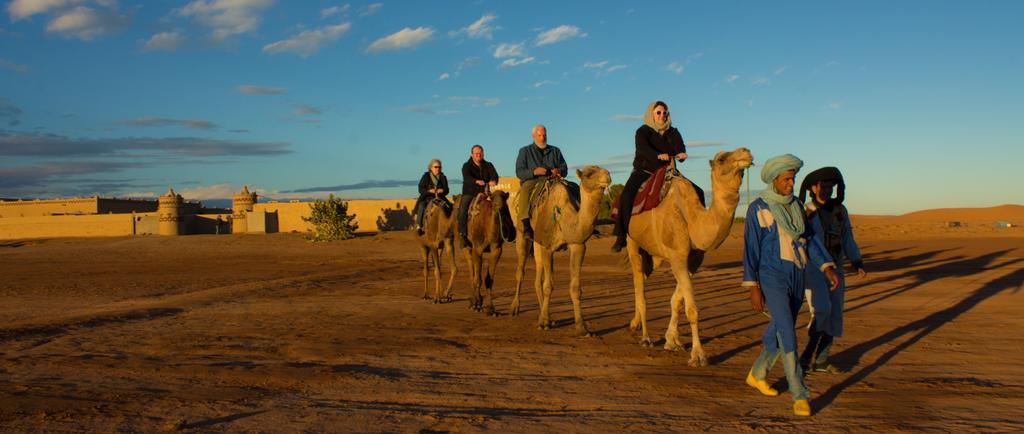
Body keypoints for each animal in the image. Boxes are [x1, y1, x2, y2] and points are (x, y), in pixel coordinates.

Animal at [509, 165, 606, 335]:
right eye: (589, 174)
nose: (607, 176)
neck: (563, 215)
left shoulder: (578, 245)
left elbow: (575, 288)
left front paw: (582, 327)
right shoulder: (548, 247)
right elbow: (548, 286)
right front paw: (544, 323)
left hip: (537, 242)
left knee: (537, 277)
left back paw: (548, 316)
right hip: (522, 234)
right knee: (521, 271)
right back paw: (515, 308)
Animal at [622, 148, 753, 366]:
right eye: (722, 159)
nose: (746, 152)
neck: (693, 220)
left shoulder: (692, 262)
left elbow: (677, 301)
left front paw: (671, 341)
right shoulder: (677, 257)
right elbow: (692, 309)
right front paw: (698, 355)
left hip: (654, 254)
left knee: (641, 278)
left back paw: (635, 324)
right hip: (632, 241)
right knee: (639, 285)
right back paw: (646, 338)